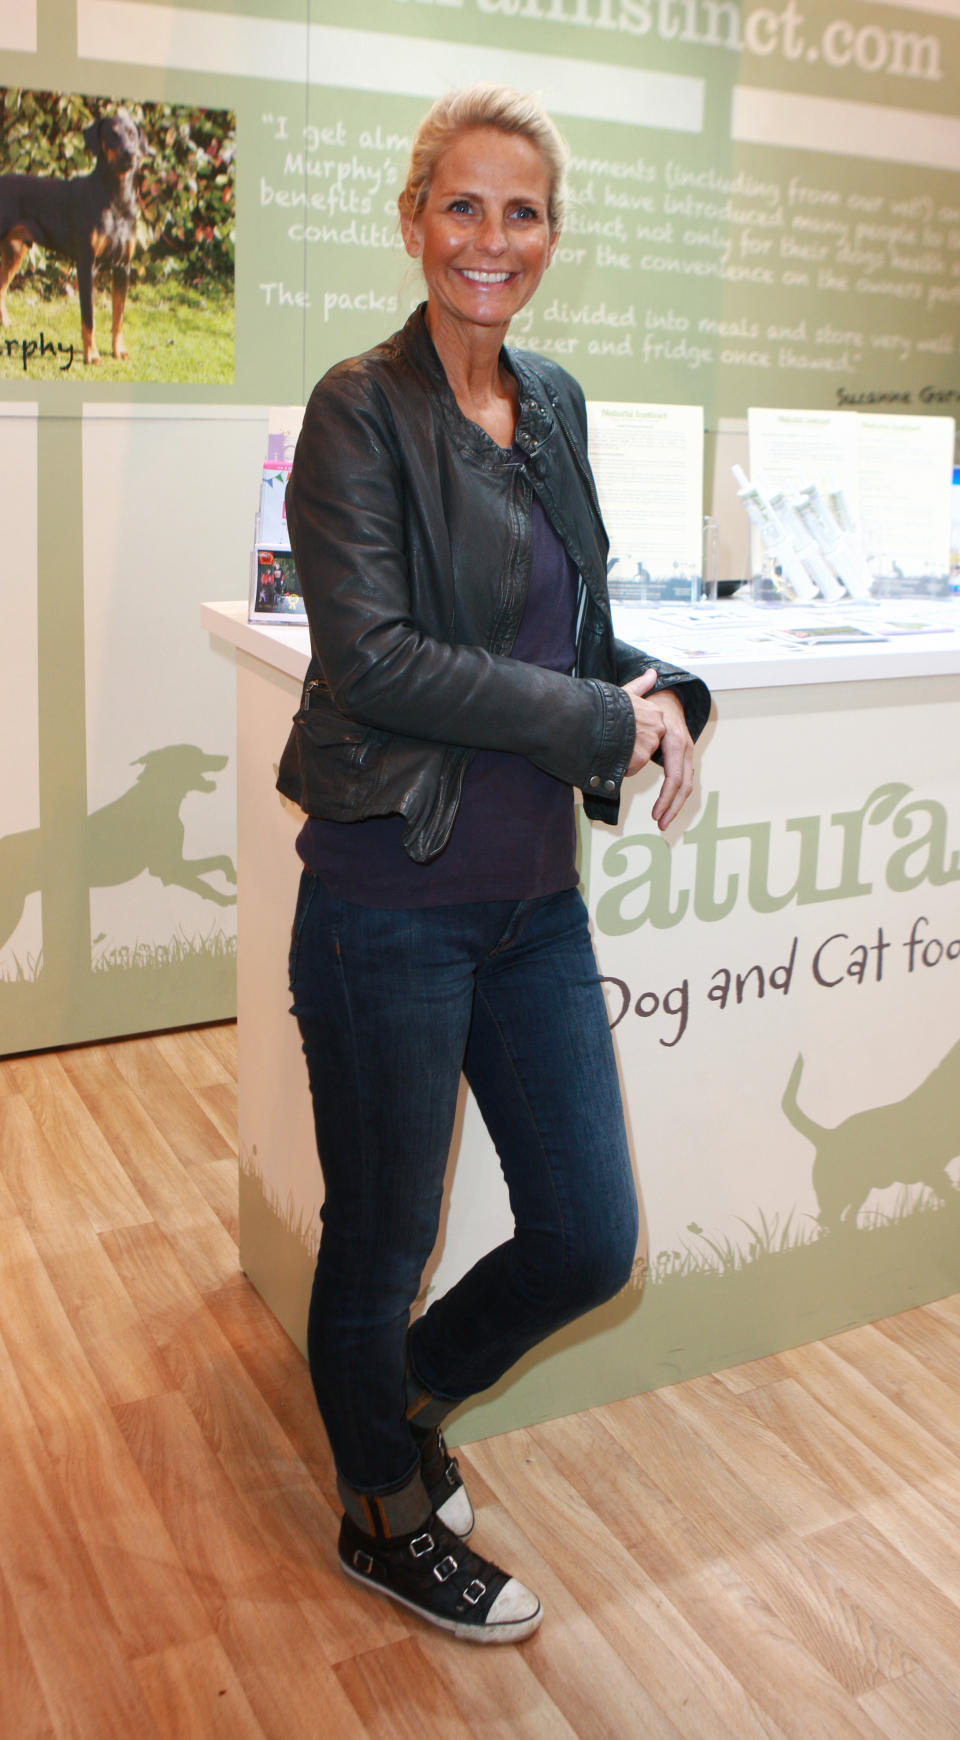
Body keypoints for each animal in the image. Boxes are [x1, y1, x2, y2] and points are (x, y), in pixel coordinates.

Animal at [0, 107, 149, 363]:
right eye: (112, 134)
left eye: (131, 134)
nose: (130, 154)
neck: (116, 198)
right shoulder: (87, 265)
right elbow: (89, 318)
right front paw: (92, 355)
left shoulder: (122, 267)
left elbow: (118, 318)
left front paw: (118, 350)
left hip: (15, 250)